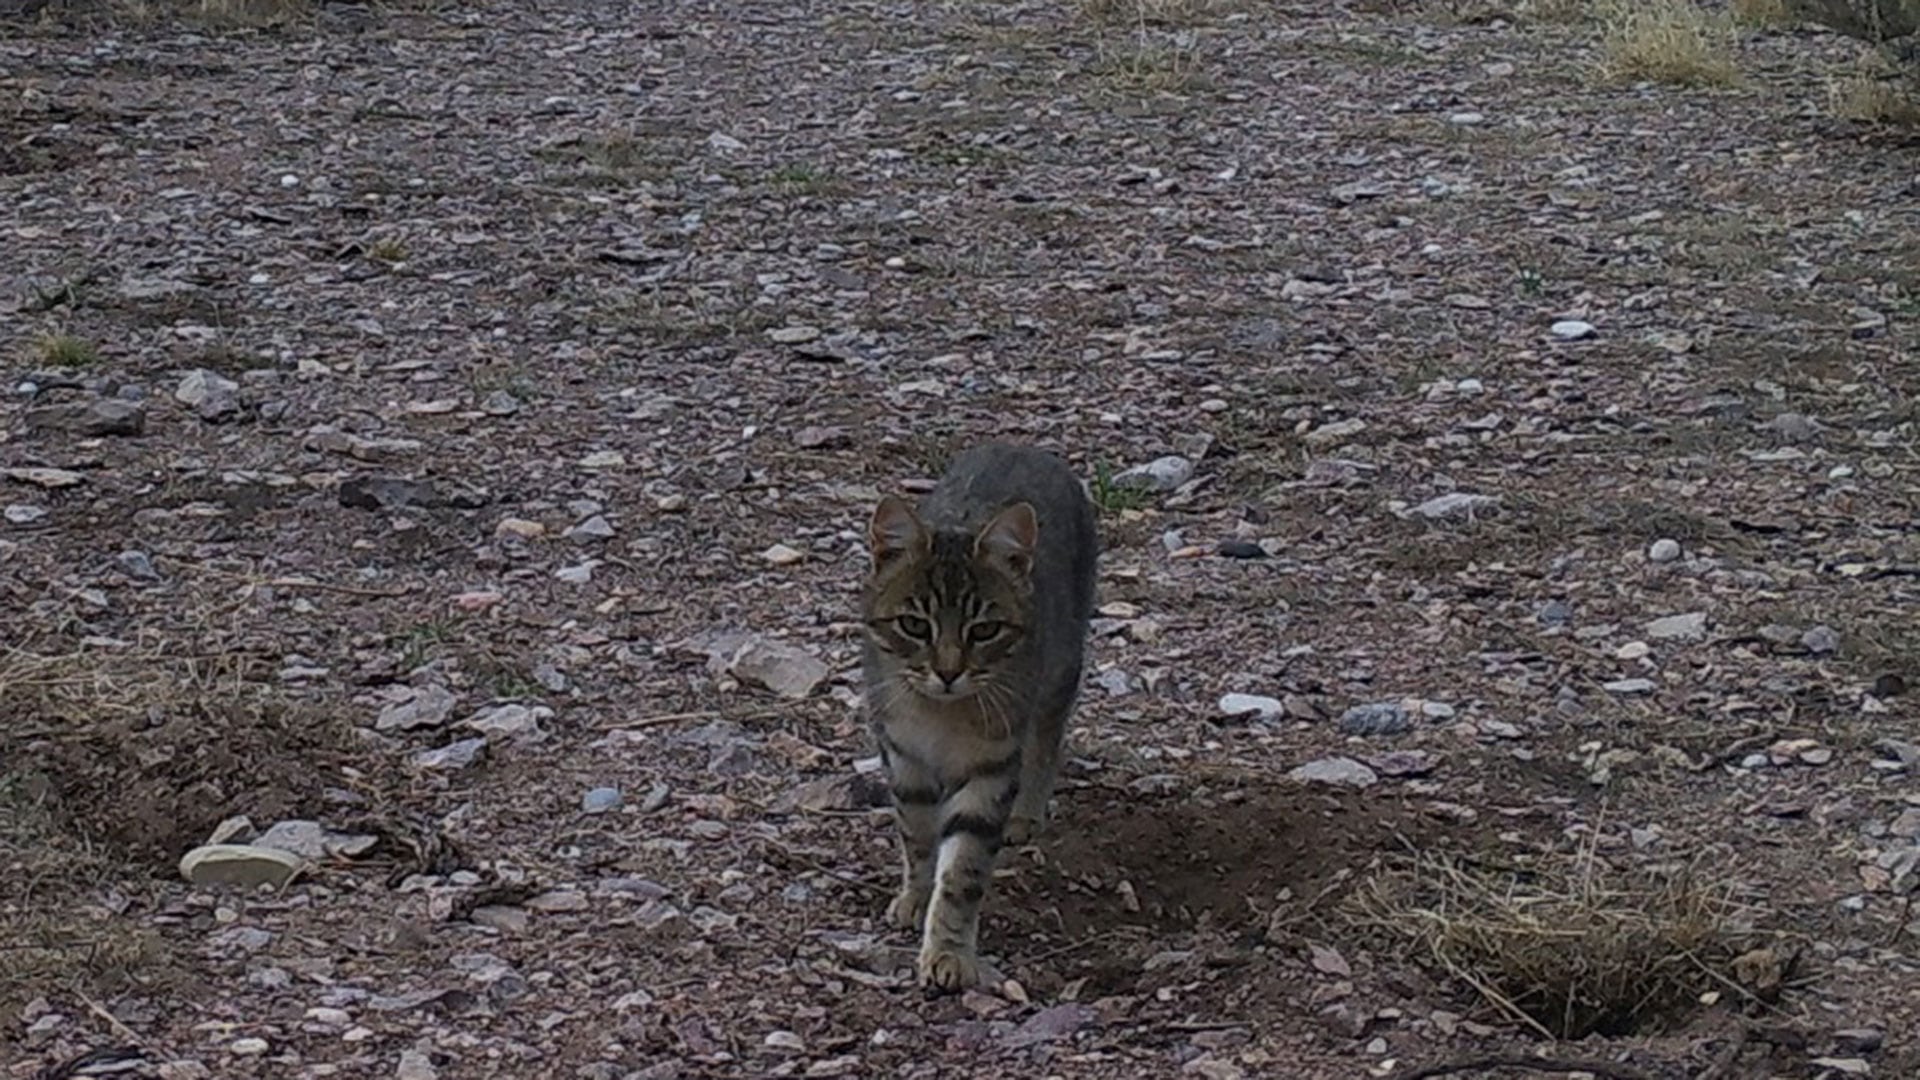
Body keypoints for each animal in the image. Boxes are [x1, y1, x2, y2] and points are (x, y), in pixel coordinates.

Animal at [856, 441, 1098, 991]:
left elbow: (962, 870)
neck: (941, 716)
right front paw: (915, 897)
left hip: (1058, 674)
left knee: (1046, 744)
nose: (948, 671)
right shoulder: (903, 757)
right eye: (914, 625)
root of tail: (1024, 444)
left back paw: (1026, 814)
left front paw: (947, 952)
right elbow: (918, 837)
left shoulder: (990, 770)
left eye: (984, 630)